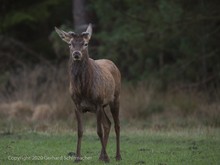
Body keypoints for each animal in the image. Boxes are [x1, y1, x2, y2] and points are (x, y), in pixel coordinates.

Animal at [54, 23, 121, 163]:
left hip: (115, 98)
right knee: (108, 124)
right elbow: (80, 131)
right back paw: (101, 156)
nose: (76, 53)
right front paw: (77, 157)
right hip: (100, 107)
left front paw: (107, 158)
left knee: (117, 125)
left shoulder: (98, 102)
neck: (83, 90)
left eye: (85, 43)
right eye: (70, 44)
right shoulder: (77, 105)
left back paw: (117, 156)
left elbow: (98, 131)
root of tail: (113, 63)